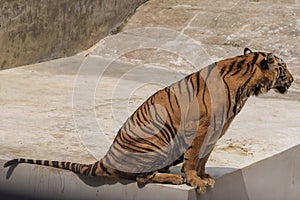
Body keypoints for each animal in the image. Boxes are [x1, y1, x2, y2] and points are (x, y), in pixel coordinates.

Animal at [3, 47, 292, 193]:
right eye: (284, 67)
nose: (292, 79)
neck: (246, 86)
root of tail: (106, 159)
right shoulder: (200, 128)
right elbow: (193, 157)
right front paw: (194, 180)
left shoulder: (215, 132)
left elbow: (203, 157)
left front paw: (204, 176)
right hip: (159, 141)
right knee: (142, 178)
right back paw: (175, 179)